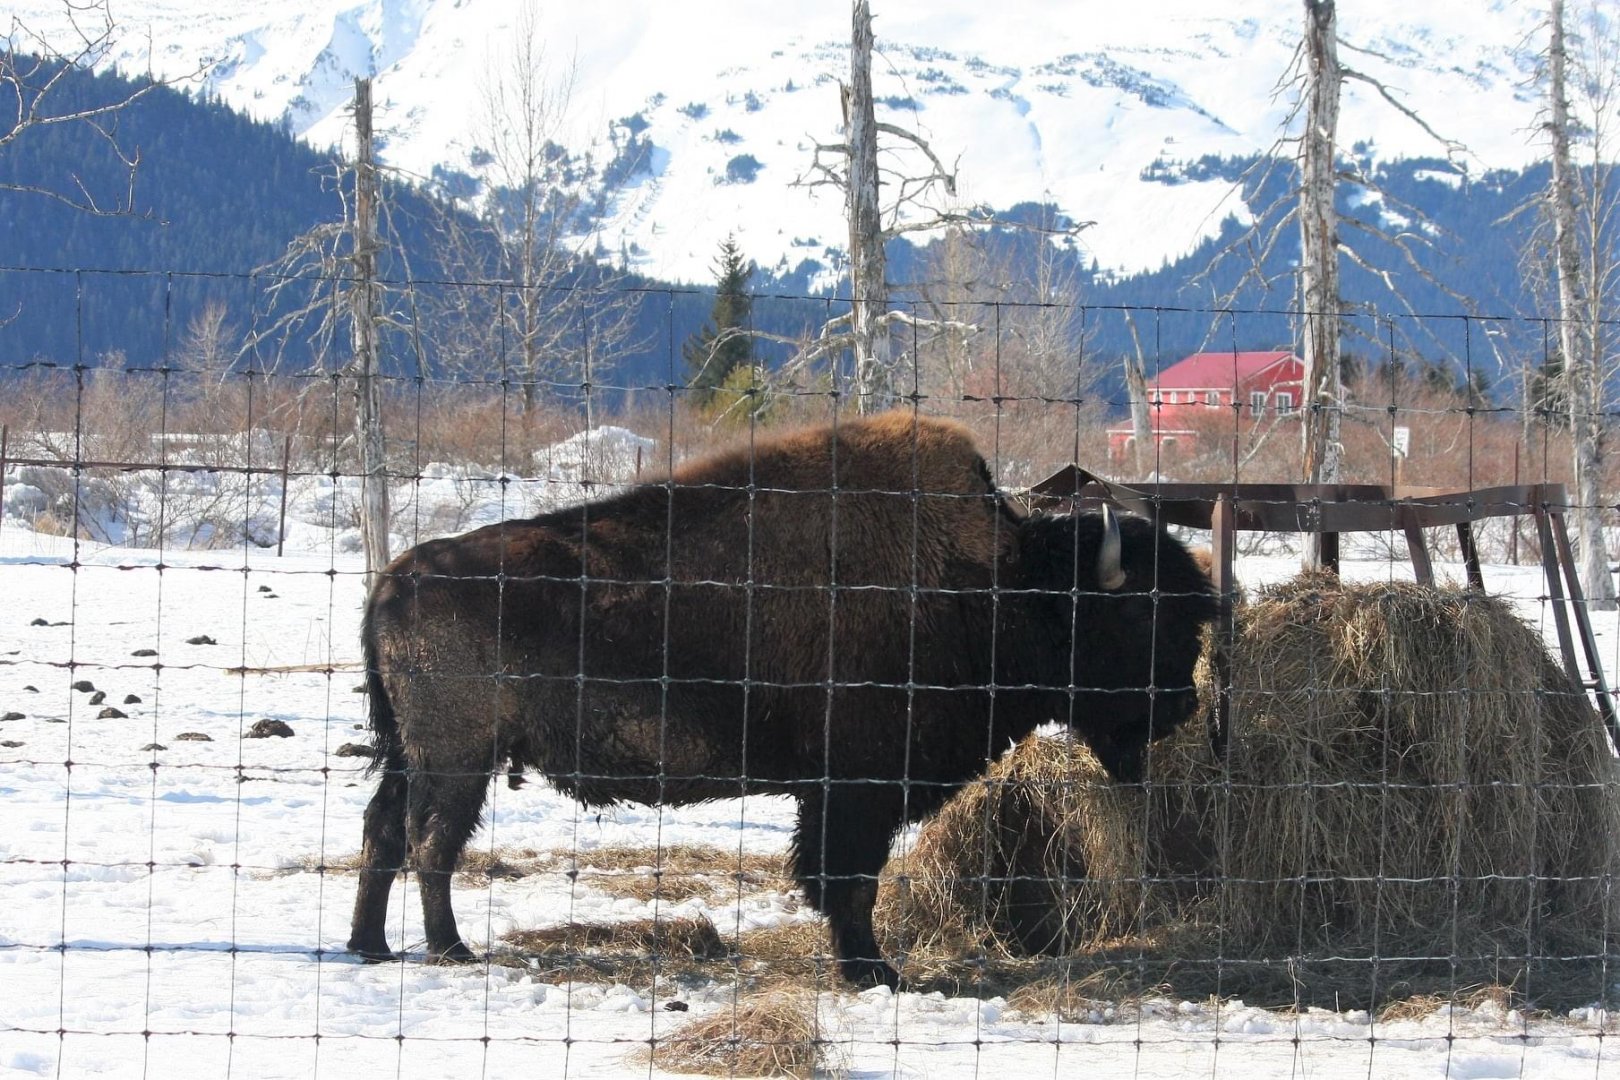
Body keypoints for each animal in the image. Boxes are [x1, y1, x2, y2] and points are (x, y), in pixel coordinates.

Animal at [347, 412, 1217, 988]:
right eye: (1139, 614)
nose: (1180, 707)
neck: (1002, 583)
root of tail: (395, 576)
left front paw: (869, 968)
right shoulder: (856, 790)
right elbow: (850, 880)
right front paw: (875, 973)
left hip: (411, 756)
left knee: (384, 835)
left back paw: (369, 946)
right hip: (456, 758)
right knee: (430, 843)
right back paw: (449, 949)